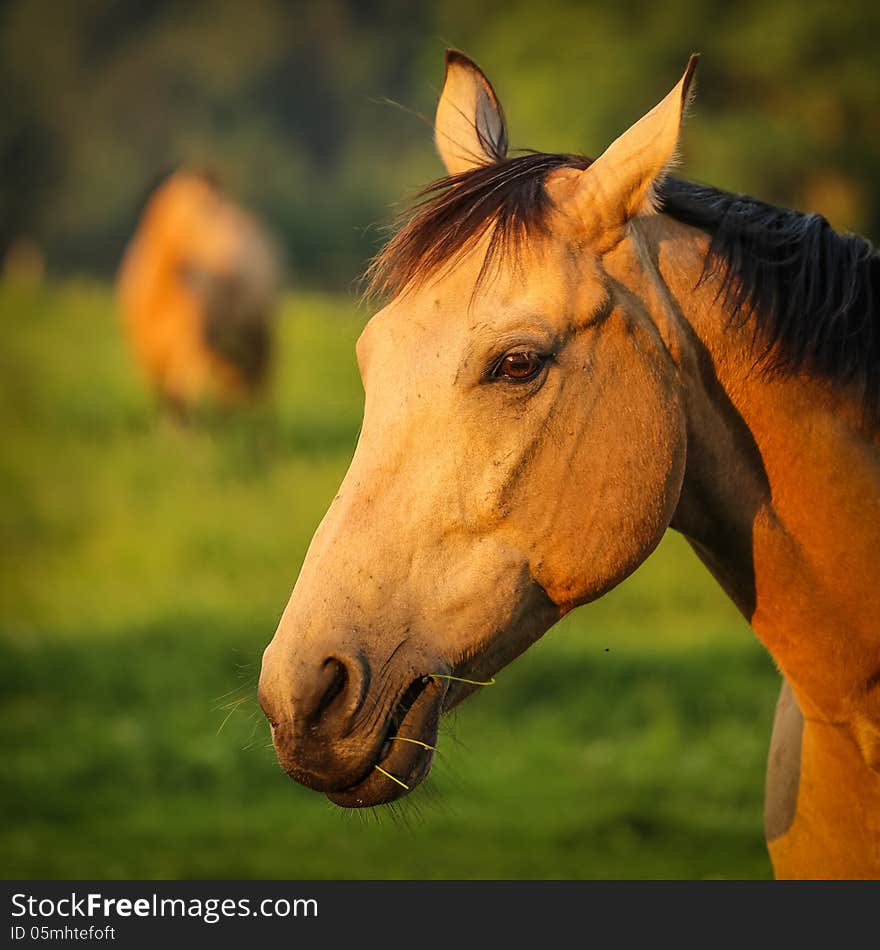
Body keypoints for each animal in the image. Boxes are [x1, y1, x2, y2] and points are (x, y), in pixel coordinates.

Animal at [115, 170, 276, 412]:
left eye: (219, 203)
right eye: (201, 207)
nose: (228, 232)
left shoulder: (190, 348)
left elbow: (180, 394)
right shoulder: (147, 354)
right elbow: (166, 398)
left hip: (256, 330)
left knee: (261, 374)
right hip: (226, 344)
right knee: (234, 380)